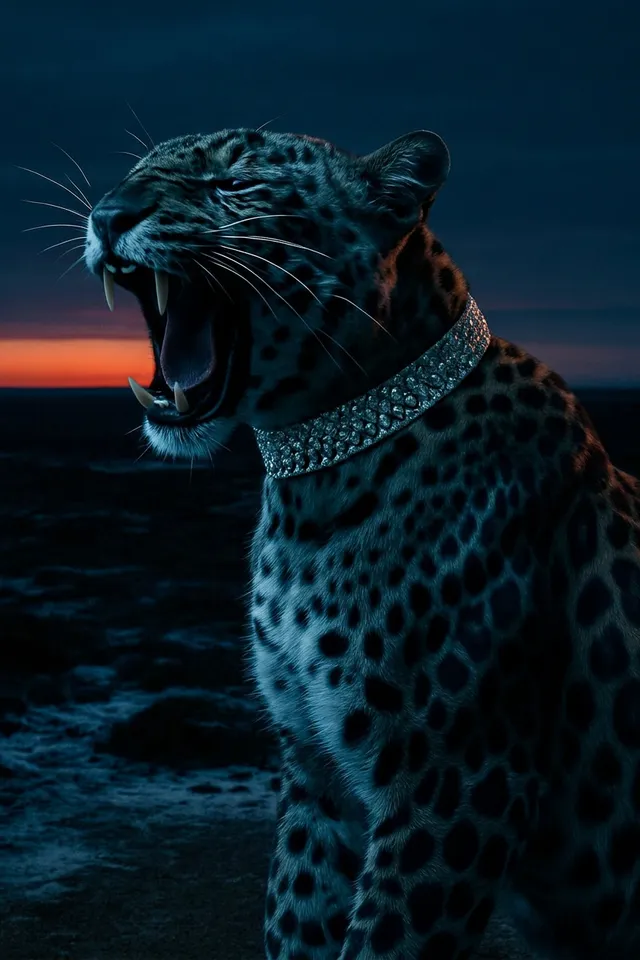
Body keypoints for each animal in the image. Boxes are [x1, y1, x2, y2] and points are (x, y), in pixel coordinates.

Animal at [84, 124, 640, 960]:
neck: (309, 484)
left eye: (234, 185)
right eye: (134, 172)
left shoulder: (458, 782)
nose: (107, 213)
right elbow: (296, 918)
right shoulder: (315, 770)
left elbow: (384, 941)